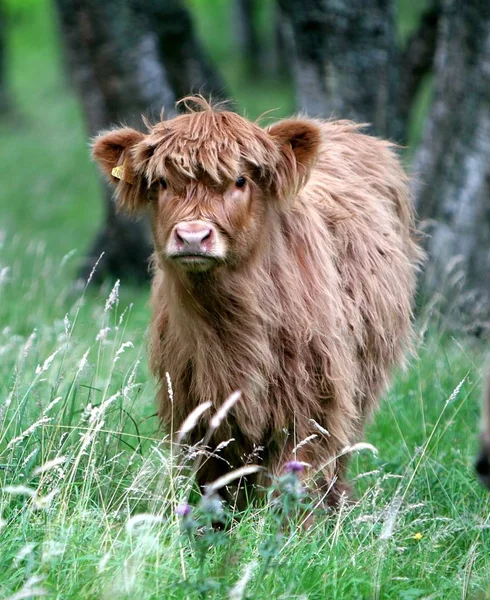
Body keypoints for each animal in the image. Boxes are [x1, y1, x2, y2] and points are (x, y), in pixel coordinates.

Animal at [94, 98, 424, 506]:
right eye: (163, 182)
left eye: (240, 180)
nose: (192, 236)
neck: (229, 327)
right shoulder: (198, 408)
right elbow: (218, 484)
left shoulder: (312, 402)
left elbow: (294, 480)